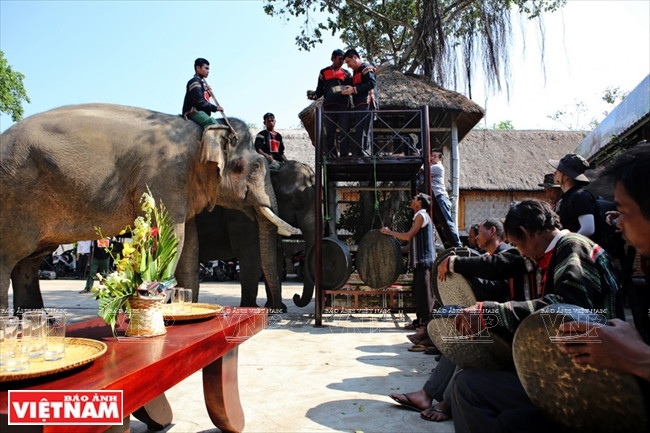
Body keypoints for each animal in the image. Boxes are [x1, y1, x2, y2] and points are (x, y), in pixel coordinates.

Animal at [0, 103, 296, 312]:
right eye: (254, 167)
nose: (279, 308)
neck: (203, 133)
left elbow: (188, 246)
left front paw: (186, 307)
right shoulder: (164, 179)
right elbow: (170, 237)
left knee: (29, 262)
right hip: (14, 198)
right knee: (9, 258)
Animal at [196, 160, 316, 308]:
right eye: (297, 199)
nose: (296, 296)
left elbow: (275, 255)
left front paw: (275, 308)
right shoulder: (240, 213)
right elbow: (250, 253)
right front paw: (253, 308)